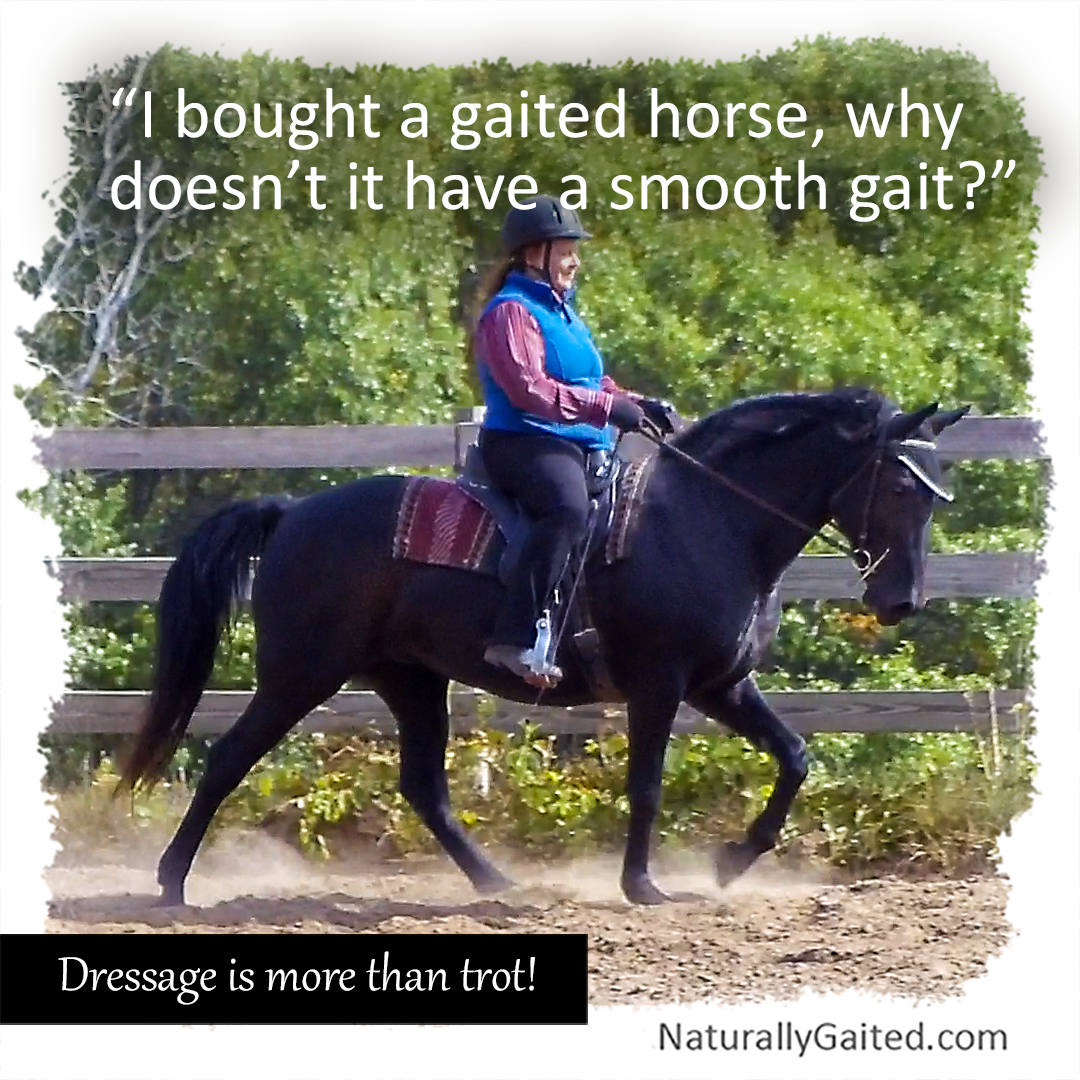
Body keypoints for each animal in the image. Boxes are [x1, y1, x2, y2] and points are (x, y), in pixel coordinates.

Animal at [121, 388, 966, 906]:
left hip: (411, 681)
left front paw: (732, 859)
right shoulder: (661, 686)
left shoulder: (722, 686)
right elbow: (647, 786)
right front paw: (643, 886)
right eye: (899, 487)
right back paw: (170, 884)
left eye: (936, 492)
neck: (709, 521)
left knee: (425, 789)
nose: (901, 601)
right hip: (301, 674)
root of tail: (293, 512)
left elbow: (795, 756)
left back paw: (497, 883)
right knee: (229, 759)